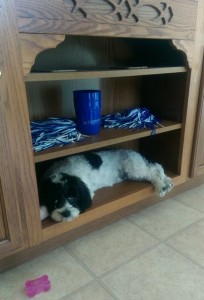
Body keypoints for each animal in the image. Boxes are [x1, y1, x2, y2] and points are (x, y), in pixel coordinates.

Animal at [38, 149, 174, 221]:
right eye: (54, 200)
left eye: (72, 197)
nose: (66, 213)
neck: (64, 172)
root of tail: (134, 152)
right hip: (135, 171)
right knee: (155, 168)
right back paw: (167, 182)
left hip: (135, 169)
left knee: (155, 169)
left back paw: (162, 186)